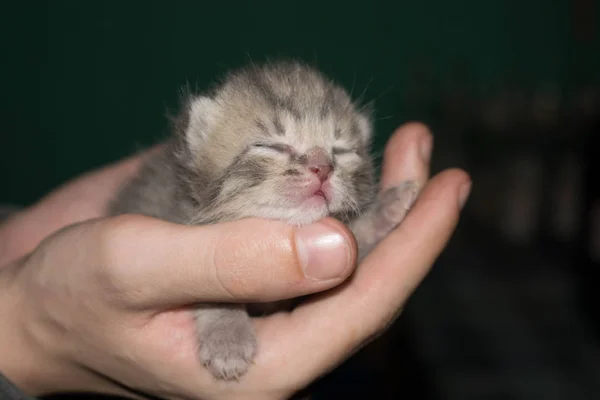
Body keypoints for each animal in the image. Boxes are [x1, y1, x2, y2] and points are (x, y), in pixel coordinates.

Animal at [108, 60, 420, 382]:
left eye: (342, 151)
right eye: (272, 146)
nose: (322, 168)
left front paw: (384, 209)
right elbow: (210, 294)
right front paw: (227, 338)